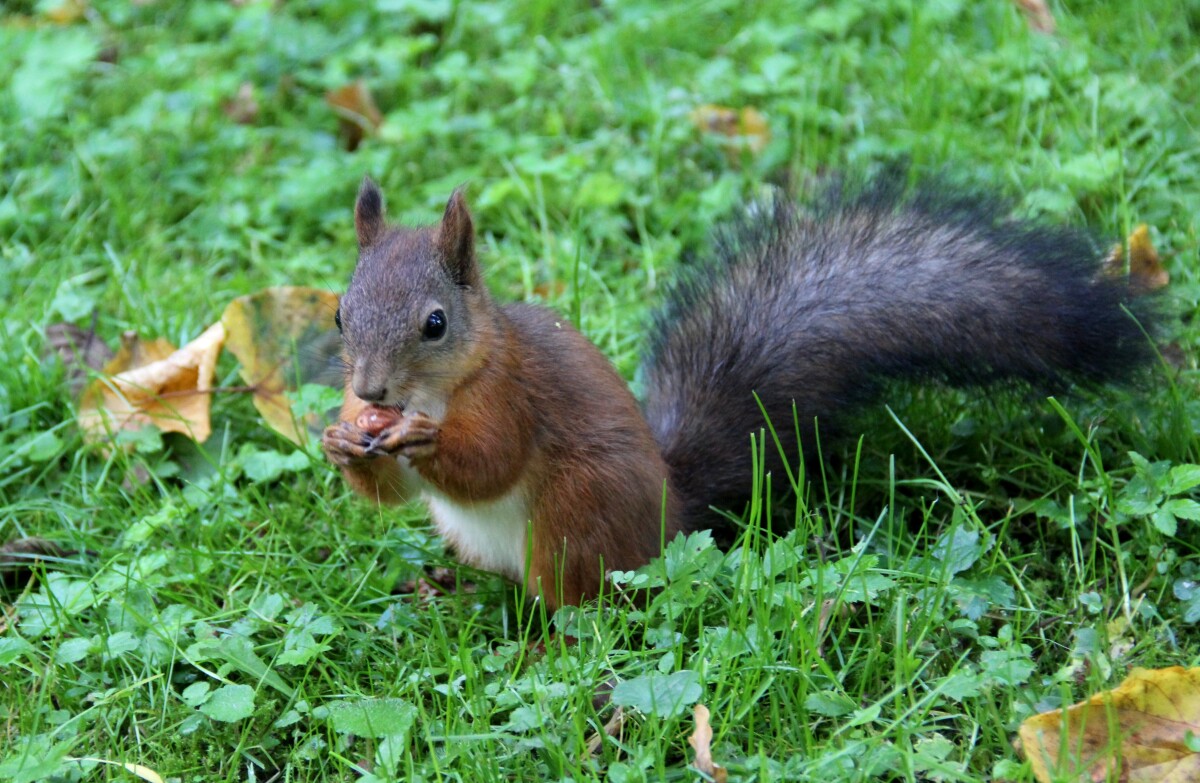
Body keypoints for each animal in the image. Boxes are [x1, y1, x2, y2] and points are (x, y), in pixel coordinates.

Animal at [324, 174, 1156, 607]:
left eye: (435, 323)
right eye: (338, 311)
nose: (368, 386)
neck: (442, 384)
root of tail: (672, 518)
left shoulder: (515, 395)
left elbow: (489, 461)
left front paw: (424, 439)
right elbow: (391, 491)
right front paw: (338, 441)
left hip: (575, 515)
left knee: (583, 605)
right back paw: (442, 583)